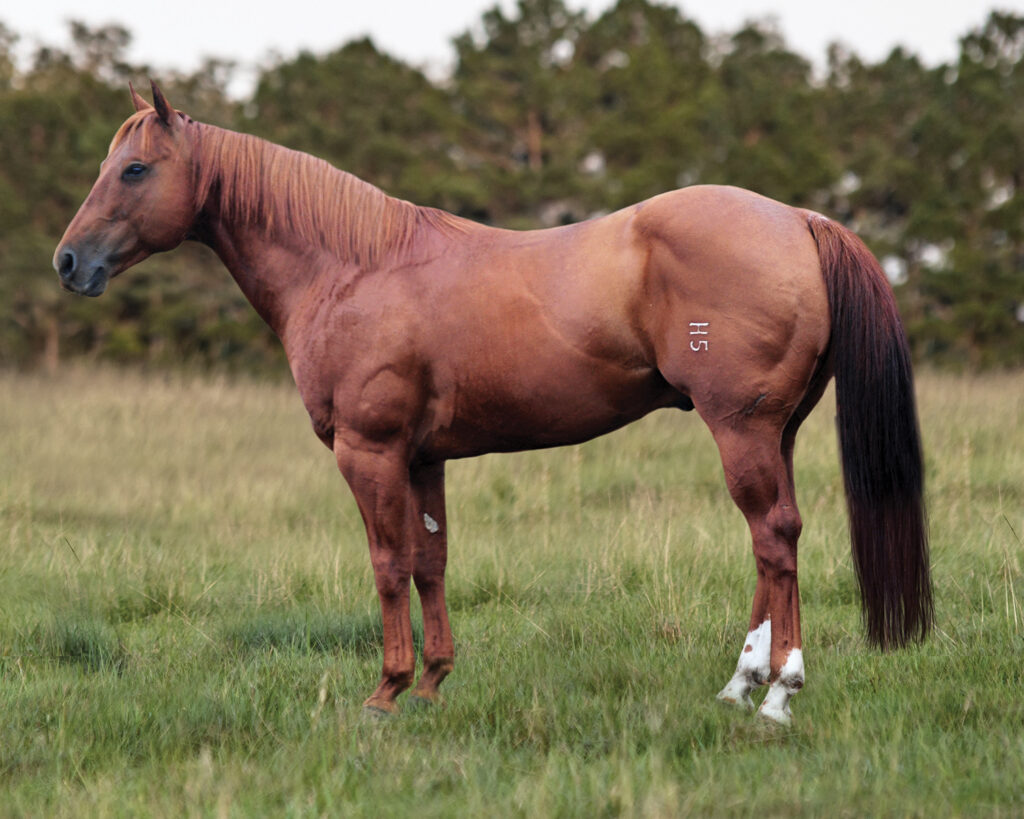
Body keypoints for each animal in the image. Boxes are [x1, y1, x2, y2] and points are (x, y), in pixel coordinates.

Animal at [54, 83, 931, 725]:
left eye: (135, 170)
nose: (69, 261)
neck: (353, 266)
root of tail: (798, 218)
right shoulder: (423, 457)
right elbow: (431, 562)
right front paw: (433, 683)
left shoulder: (369, 451)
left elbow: (387, 563)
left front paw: (385, 692)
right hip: (771, 432)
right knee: (770, 542)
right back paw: (739, 684)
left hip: (741, 428)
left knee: (774, 536)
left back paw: (779, 693)